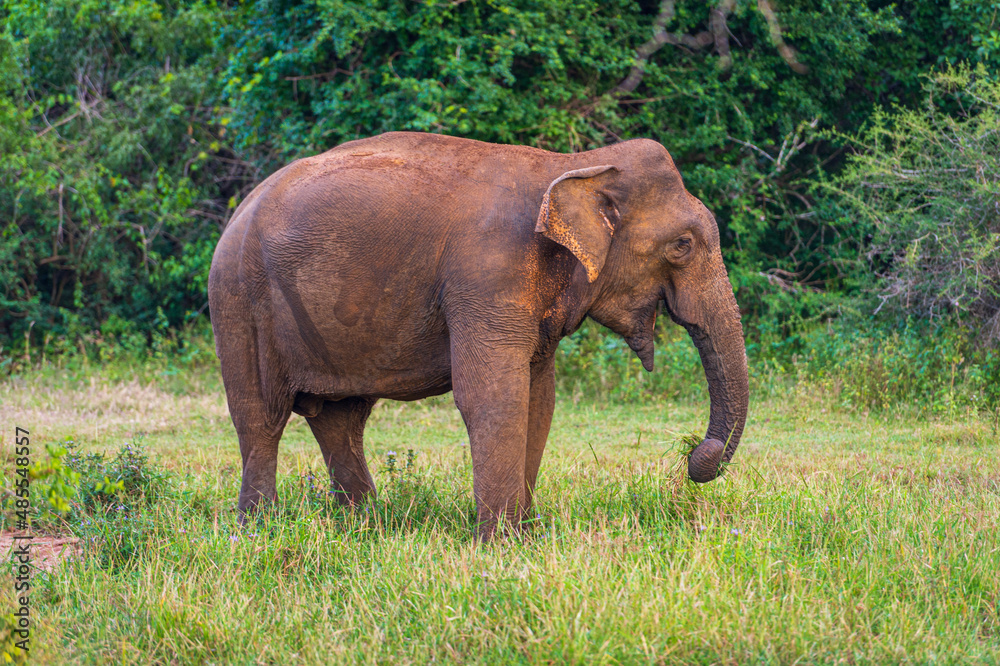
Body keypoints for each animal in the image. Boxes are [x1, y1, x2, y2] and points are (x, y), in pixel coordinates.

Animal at [208, 131, 749, 539]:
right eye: (683, 245)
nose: (696, 456)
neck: (574, 165)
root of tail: (239, 210)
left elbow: (539, 399)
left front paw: (528, 535)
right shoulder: (487, 275)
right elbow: (493, 397)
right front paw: (501, 545)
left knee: (340, 420)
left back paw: (366, 526)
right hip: (239, 300)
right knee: (261, 418)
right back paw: (257, 531)